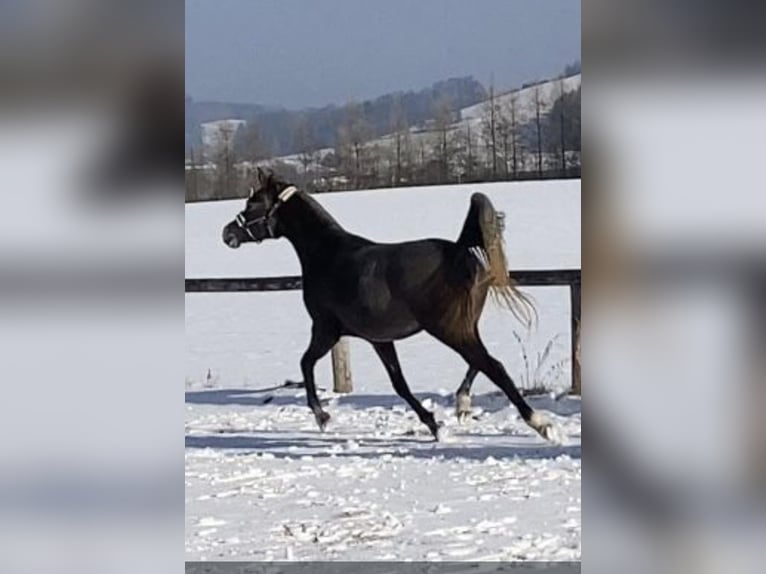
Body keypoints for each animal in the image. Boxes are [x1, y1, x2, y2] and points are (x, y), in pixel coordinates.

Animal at [225, 168, 560, 446]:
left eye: (253, 204)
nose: (227, 233)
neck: (329, 255)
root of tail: (460, 251)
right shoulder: (380, 339)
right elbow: (399, 384)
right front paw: (435, 426)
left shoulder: (326, 329)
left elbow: (305, 363)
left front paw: (322, 418)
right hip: (463, 326)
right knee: (479, 361)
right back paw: (463, 404)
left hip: (448, 329)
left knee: (493, 365)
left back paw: (541, 424)